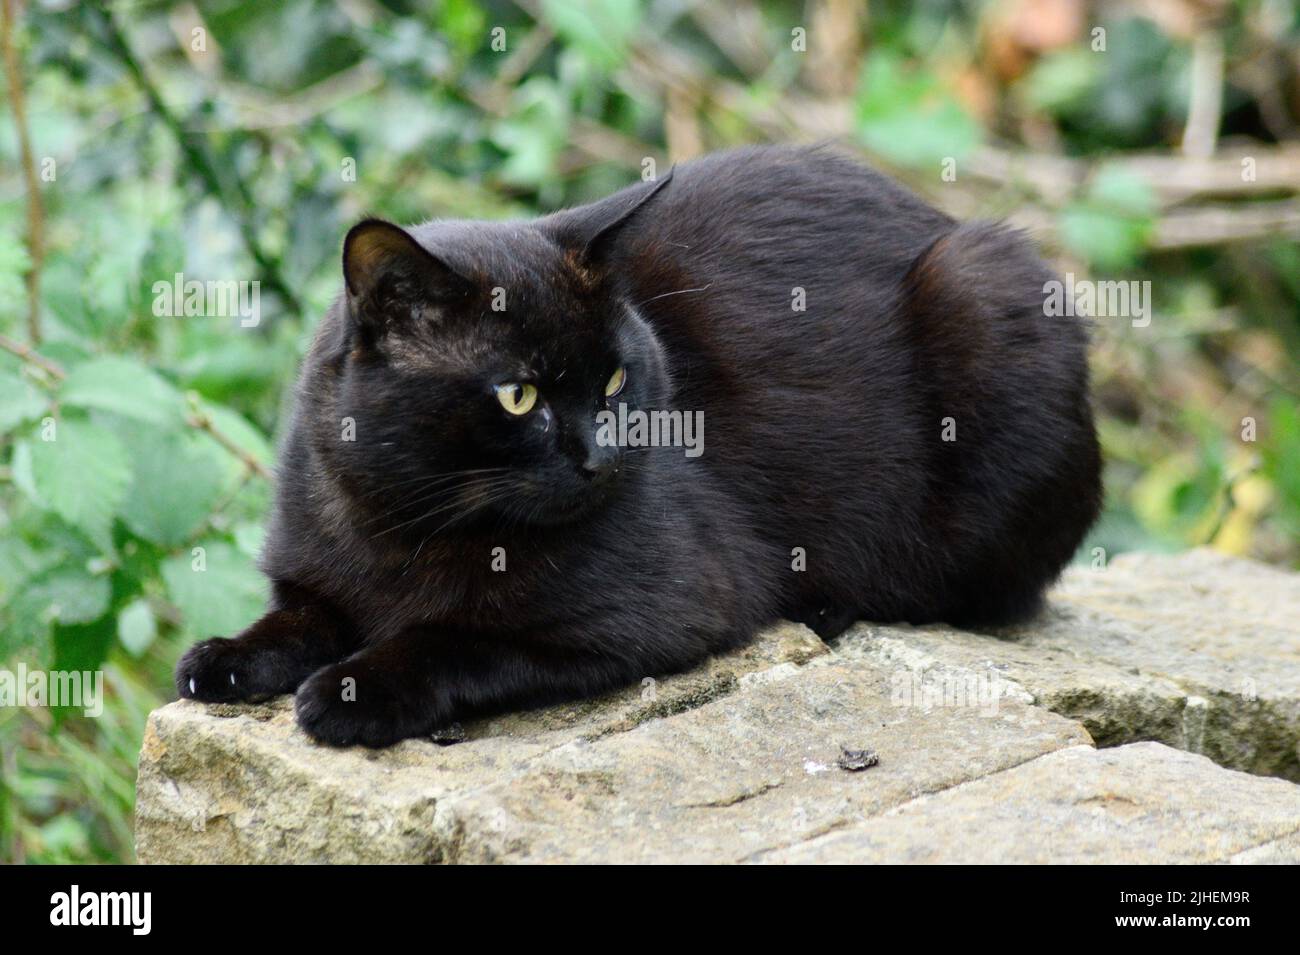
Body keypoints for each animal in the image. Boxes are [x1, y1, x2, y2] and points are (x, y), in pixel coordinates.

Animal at [178, 145, 1102, 748]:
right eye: (519, 394)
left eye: (617, 380)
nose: (601, 455)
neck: (405, 524)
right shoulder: (315, 575)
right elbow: (295, 617)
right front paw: (225, 658)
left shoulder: (653, 611)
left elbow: (458, 636)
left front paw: (355, 686)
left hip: (982, 291)